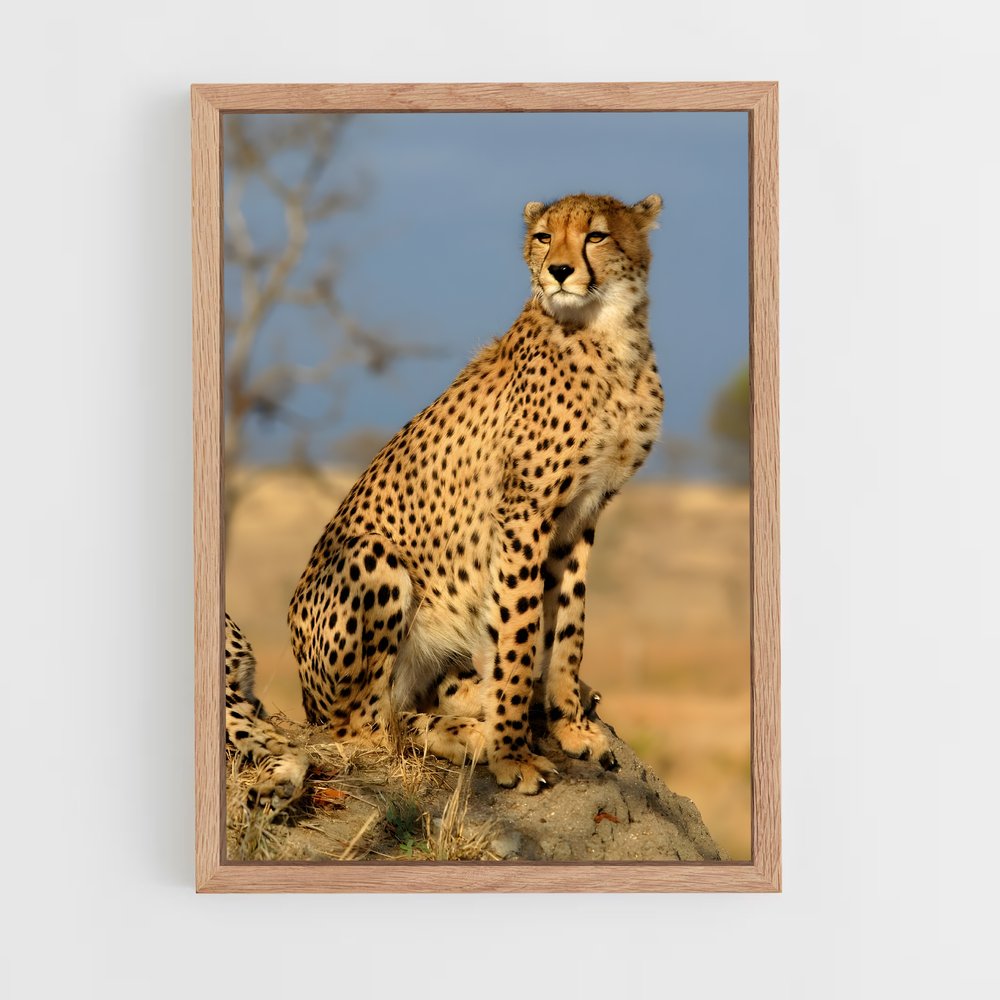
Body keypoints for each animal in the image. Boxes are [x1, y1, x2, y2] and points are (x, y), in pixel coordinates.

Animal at [286, 191, 666, 795]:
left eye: (597, 235)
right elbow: (519, 630)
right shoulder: (523, 513)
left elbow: (568, 627)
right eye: (543, 236)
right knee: (370, 730)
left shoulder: (581, 514)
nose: (560, 271)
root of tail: (305, 700)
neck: (609, 336)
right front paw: (513, 754)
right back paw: (473, 733)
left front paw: (570, 725)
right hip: (372, 557)